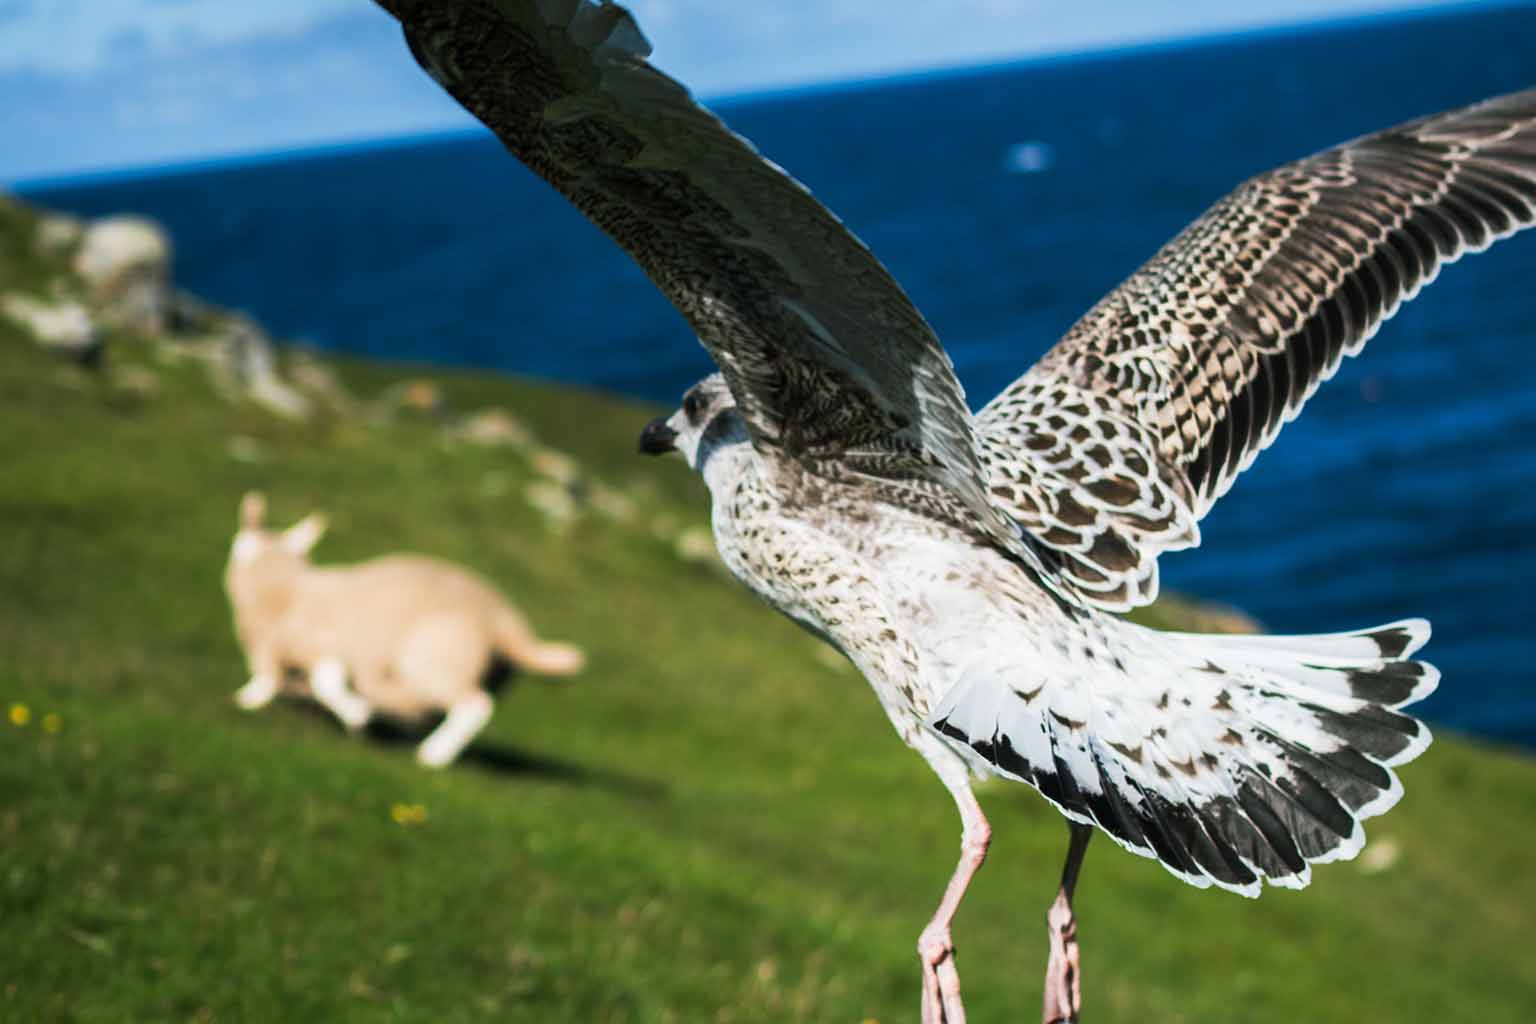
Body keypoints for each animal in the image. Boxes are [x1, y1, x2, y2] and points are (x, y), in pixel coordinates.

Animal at [223, 491, 584, 767]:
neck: (287, 590)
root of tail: (503, 621)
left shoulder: (321, 643)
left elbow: (320, 682)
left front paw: (251, 697)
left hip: (436, 661)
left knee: (473, 707)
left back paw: (432, 754)